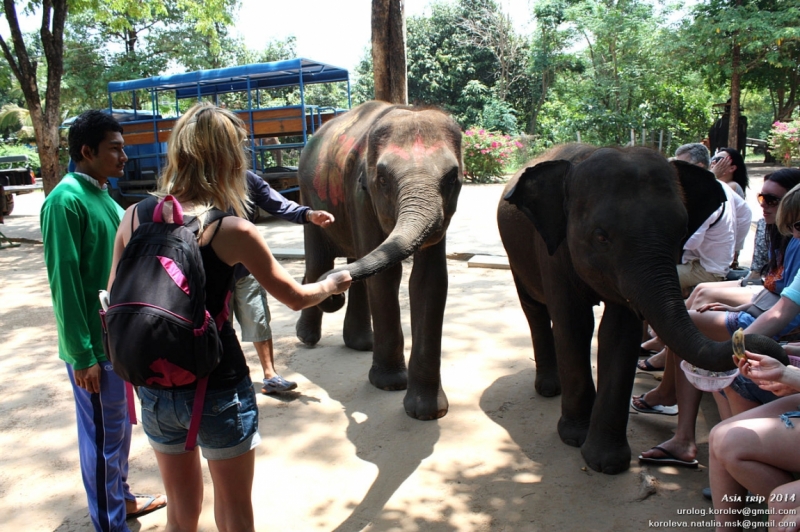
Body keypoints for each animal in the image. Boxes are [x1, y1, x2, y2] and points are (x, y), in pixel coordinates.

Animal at [294, 102, 462, 422]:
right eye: (383, 179)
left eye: (452, 178)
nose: (334, 294)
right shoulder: (359, 194)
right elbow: (387, 275)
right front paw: (390, 383)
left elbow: (429, 280)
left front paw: (427, 412)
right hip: (309, 195)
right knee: (318, 260)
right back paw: (307, 338)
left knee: (355, 259)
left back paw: (361, 343)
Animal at [496, 142, 784, 474]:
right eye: (601, 236)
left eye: (682, 231)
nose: (749, 350)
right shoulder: (552, 253)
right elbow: (575, 324)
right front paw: (574, 437)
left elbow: (619, 332)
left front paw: (606, 462)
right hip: (515, 254)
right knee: (534, 309)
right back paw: (548, 388)